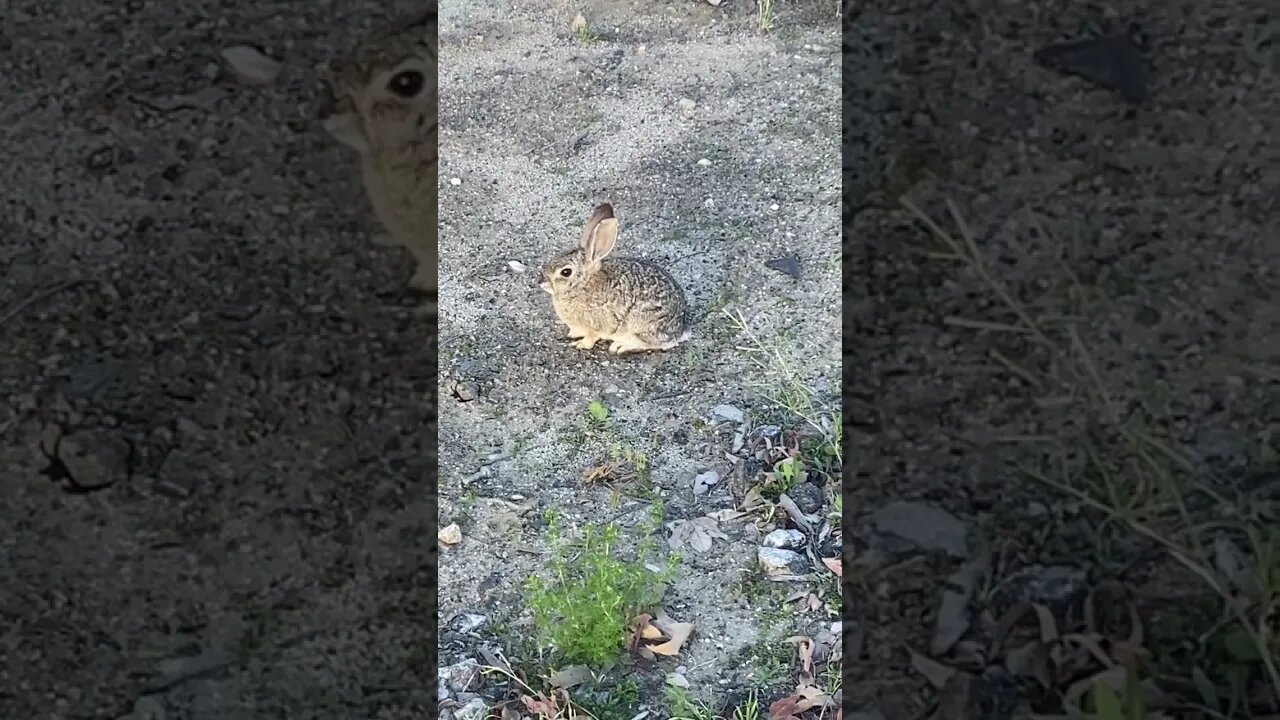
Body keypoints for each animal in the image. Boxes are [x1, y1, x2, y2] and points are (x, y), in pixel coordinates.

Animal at [539, 203, 691, 354]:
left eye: (566, 272)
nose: (541, 281)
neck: (582, 285)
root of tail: (679, 329)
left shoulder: (597, 325)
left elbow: (591, 337)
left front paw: (580, 344)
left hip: (641, 326)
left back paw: (621, 346)